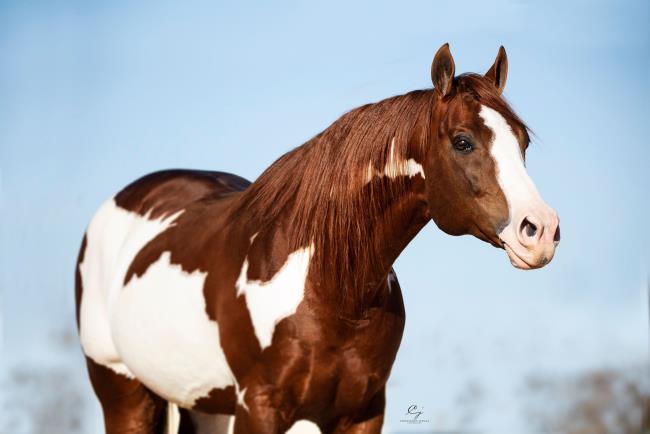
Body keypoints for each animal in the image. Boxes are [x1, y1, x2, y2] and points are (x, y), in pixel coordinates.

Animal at [74, 45, 556, 434]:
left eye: (523, 142)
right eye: (462, 141)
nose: (541, 231)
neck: (331, 289)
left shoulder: (361, 413)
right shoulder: (259, 409)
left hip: (202, 403)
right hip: (124, 393)